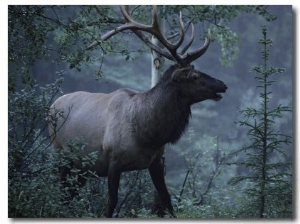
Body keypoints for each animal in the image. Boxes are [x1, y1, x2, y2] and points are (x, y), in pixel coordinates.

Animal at [48, 6, 227, 218]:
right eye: (194, 76)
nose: (223, 84)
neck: (147, 133)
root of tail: (52, 106)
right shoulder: (113, 159)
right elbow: (111, 202)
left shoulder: (155, 161)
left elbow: (167, 200)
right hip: (60, 154)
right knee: (61, 192)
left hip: (81, 166)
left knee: (70, 195)